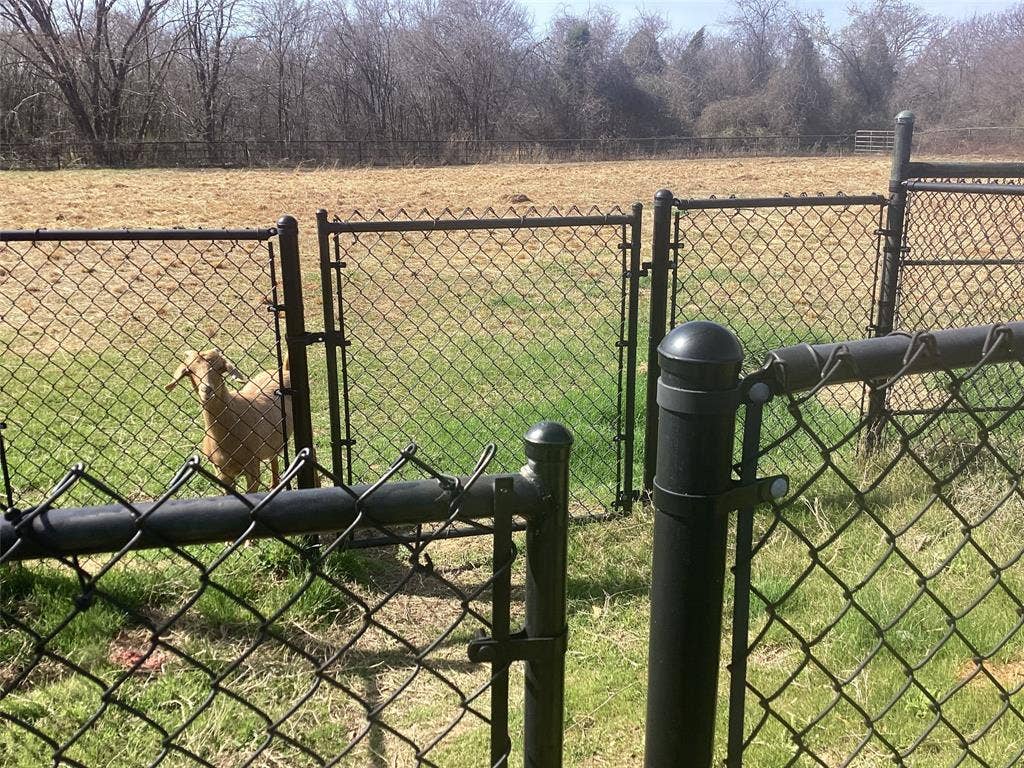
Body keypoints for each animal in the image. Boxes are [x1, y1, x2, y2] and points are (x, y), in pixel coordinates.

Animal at [166, 348, 292, 492]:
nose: (206, 390)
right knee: (274, 458)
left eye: (219, 368)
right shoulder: (222, 473)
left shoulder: (253, 468)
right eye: (190, 371)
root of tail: (285, 371)